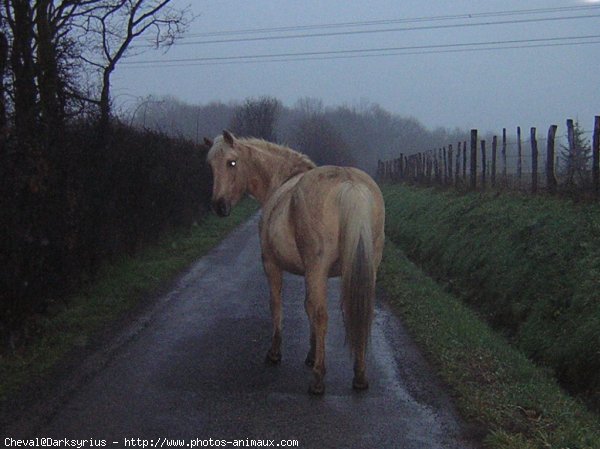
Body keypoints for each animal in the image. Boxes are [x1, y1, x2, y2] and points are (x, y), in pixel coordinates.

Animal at [206, 130, 384, 396]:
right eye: (210, 165)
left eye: (232, 162)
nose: (219, 206)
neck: (281, 181)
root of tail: (349, 184)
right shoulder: (309, 273)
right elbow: (307, 306)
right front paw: (311, 354)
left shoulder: (271, 264)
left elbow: (278, 305)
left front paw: (275, 353)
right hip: (365, 268)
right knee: (361, 313)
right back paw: (360, 376)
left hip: (316, 268)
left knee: (322, 315)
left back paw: (318, 380)